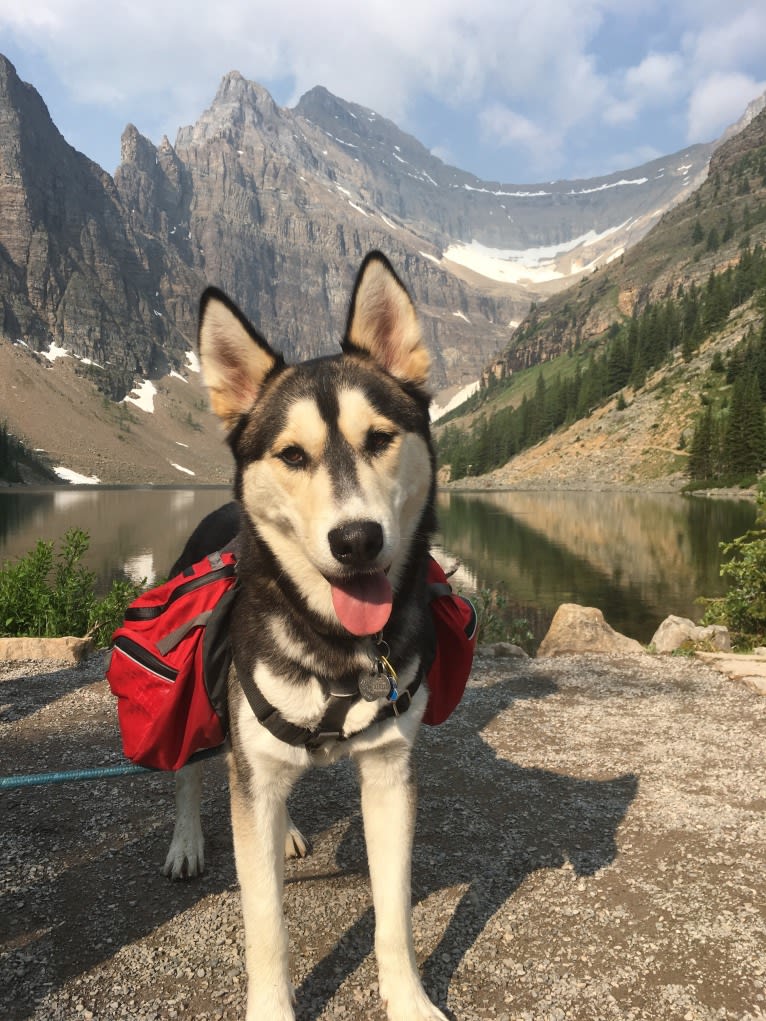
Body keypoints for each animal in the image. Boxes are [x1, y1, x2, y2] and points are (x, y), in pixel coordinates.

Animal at [163, 249, 449, 1021]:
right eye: (292, 455)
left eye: (380, 439)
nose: (356, 541)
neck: (333, 644)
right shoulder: (250, 774)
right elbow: (267, 926)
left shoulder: (391, 772)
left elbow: (393, 916)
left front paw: (409, 1000)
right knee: (194, 772)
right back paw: (187, 839)